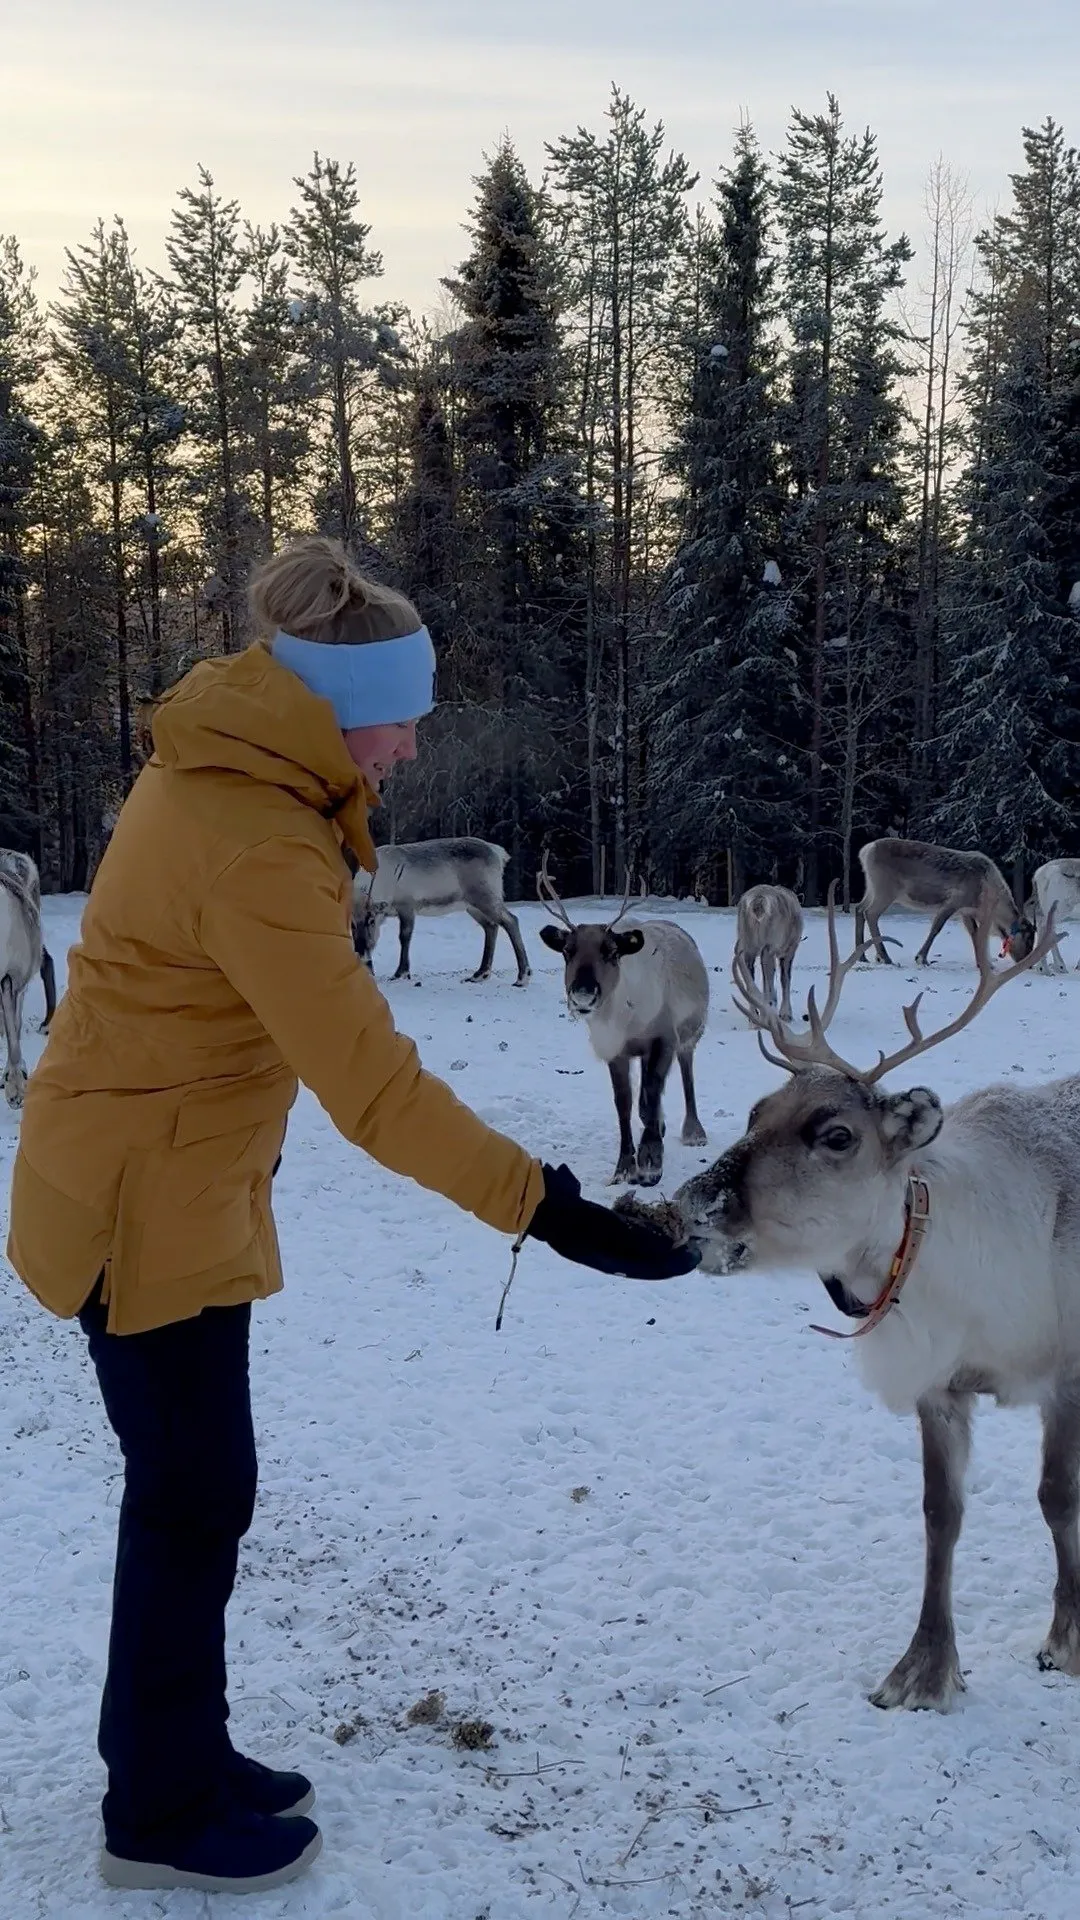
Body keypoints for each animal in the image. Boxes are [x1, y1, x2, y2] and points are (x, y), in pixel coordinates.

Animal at [351, 838, 530, 985]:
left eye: (371, 920)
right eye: (352, 925)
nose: (360, 950)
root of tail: (498, 852)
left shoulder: (407, 906)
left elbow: (404, 937)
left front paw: (401, 972)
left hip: (486, 897)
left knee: (511, 920)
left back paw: (523, 976)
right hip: (472, 906)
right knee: (491, 926)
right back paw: (480, 974)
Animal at [537, 856, 709, 1187]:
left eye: (612, 952)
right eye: (567, 951)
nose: (583, 994)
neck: (621, 1021)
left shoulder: (663, 1039)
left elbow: (651, 1094)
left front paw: (651, 1163)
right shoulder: (616, 1051)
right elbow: (625, 1103)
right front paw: (625, 1167)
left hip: (691, 1034)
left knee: (687, 1073)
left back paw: (693, 1131)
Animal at [734, 885, 803, 1025]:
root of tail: (758, 902)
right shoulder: (789, 950)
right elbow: (785, 979)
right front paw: (786, 1014)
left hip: (747, 943)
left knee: (750, 979)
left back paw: (754, 1015)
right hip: (768, 945)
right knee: (769, 980)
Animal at [855, 837, 1020, 967]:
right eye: (1025, 934)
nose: (1022, 961)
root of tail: (865, 851)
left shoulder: (966, 911)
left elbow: (974, 934)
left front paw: (984, 964)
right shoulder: (953, 902)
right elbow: (936, 928)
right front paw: (921, 958)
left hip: (871, 888)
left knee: (859, 908)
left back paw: (861, 955)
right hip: (885, 889)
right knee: (870, 913)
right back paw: (884, 957)